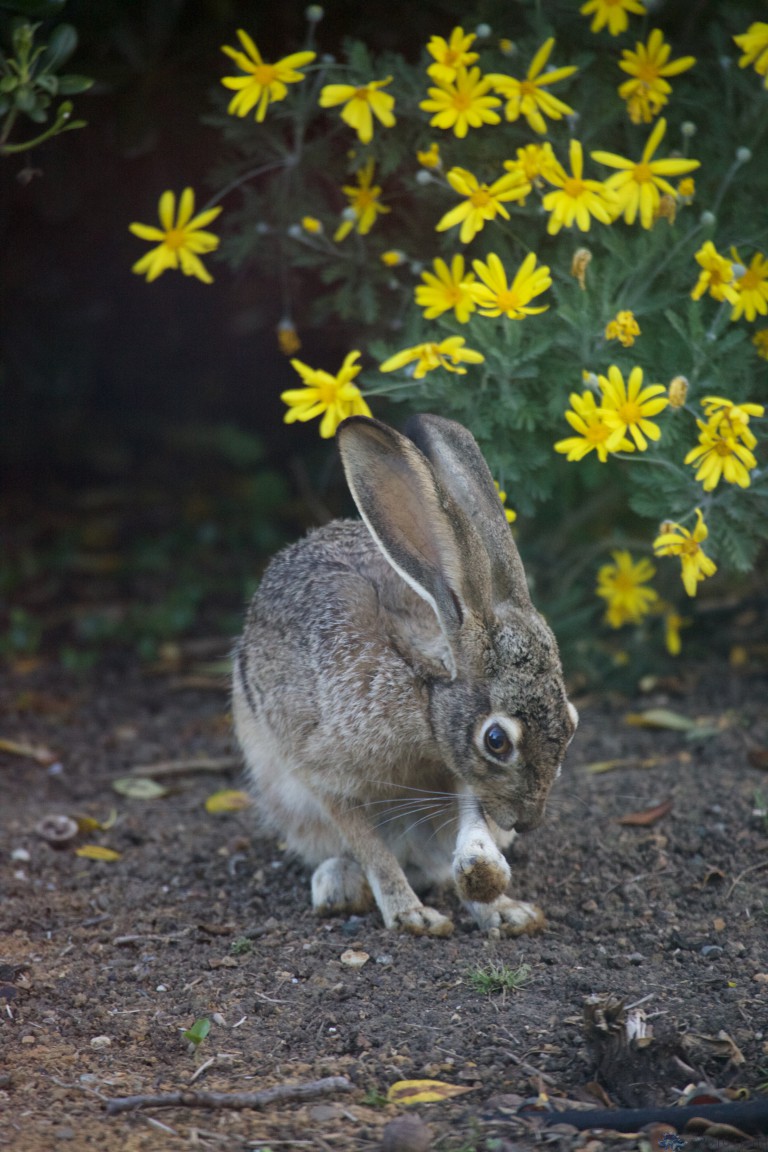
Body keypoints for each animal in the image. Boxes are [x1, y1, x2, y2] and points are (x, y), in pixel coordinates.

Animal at [232, 413, 578, 937]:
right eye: (497, 741)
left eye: (572, 723)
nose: (527, 820)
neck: (421, 694)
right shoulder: (321, 771)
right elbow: (369, 846)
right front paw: (411, 915)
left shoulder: (457, 770)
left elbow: (471, 819)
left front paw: (492, 893)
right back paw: (339, 887)